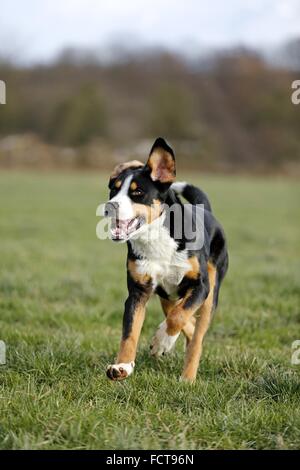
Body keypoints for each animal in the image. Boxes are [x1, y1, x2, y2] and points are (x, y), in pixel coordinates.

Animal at [104, 138, 229, 384]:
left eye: (137, 191)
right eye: (114, 189)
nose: (109, 206)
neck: (157, 239)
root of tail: (206, 210)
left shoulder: (200, 286)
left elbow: (177, 318)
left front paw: (161, 342)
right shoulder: (138, 291)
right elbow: (129, 333)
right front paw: (122, 366)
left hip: (211, 292)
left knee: (196, 337)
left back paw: (187, 378)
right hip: (166, 294)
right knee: (185, 321)